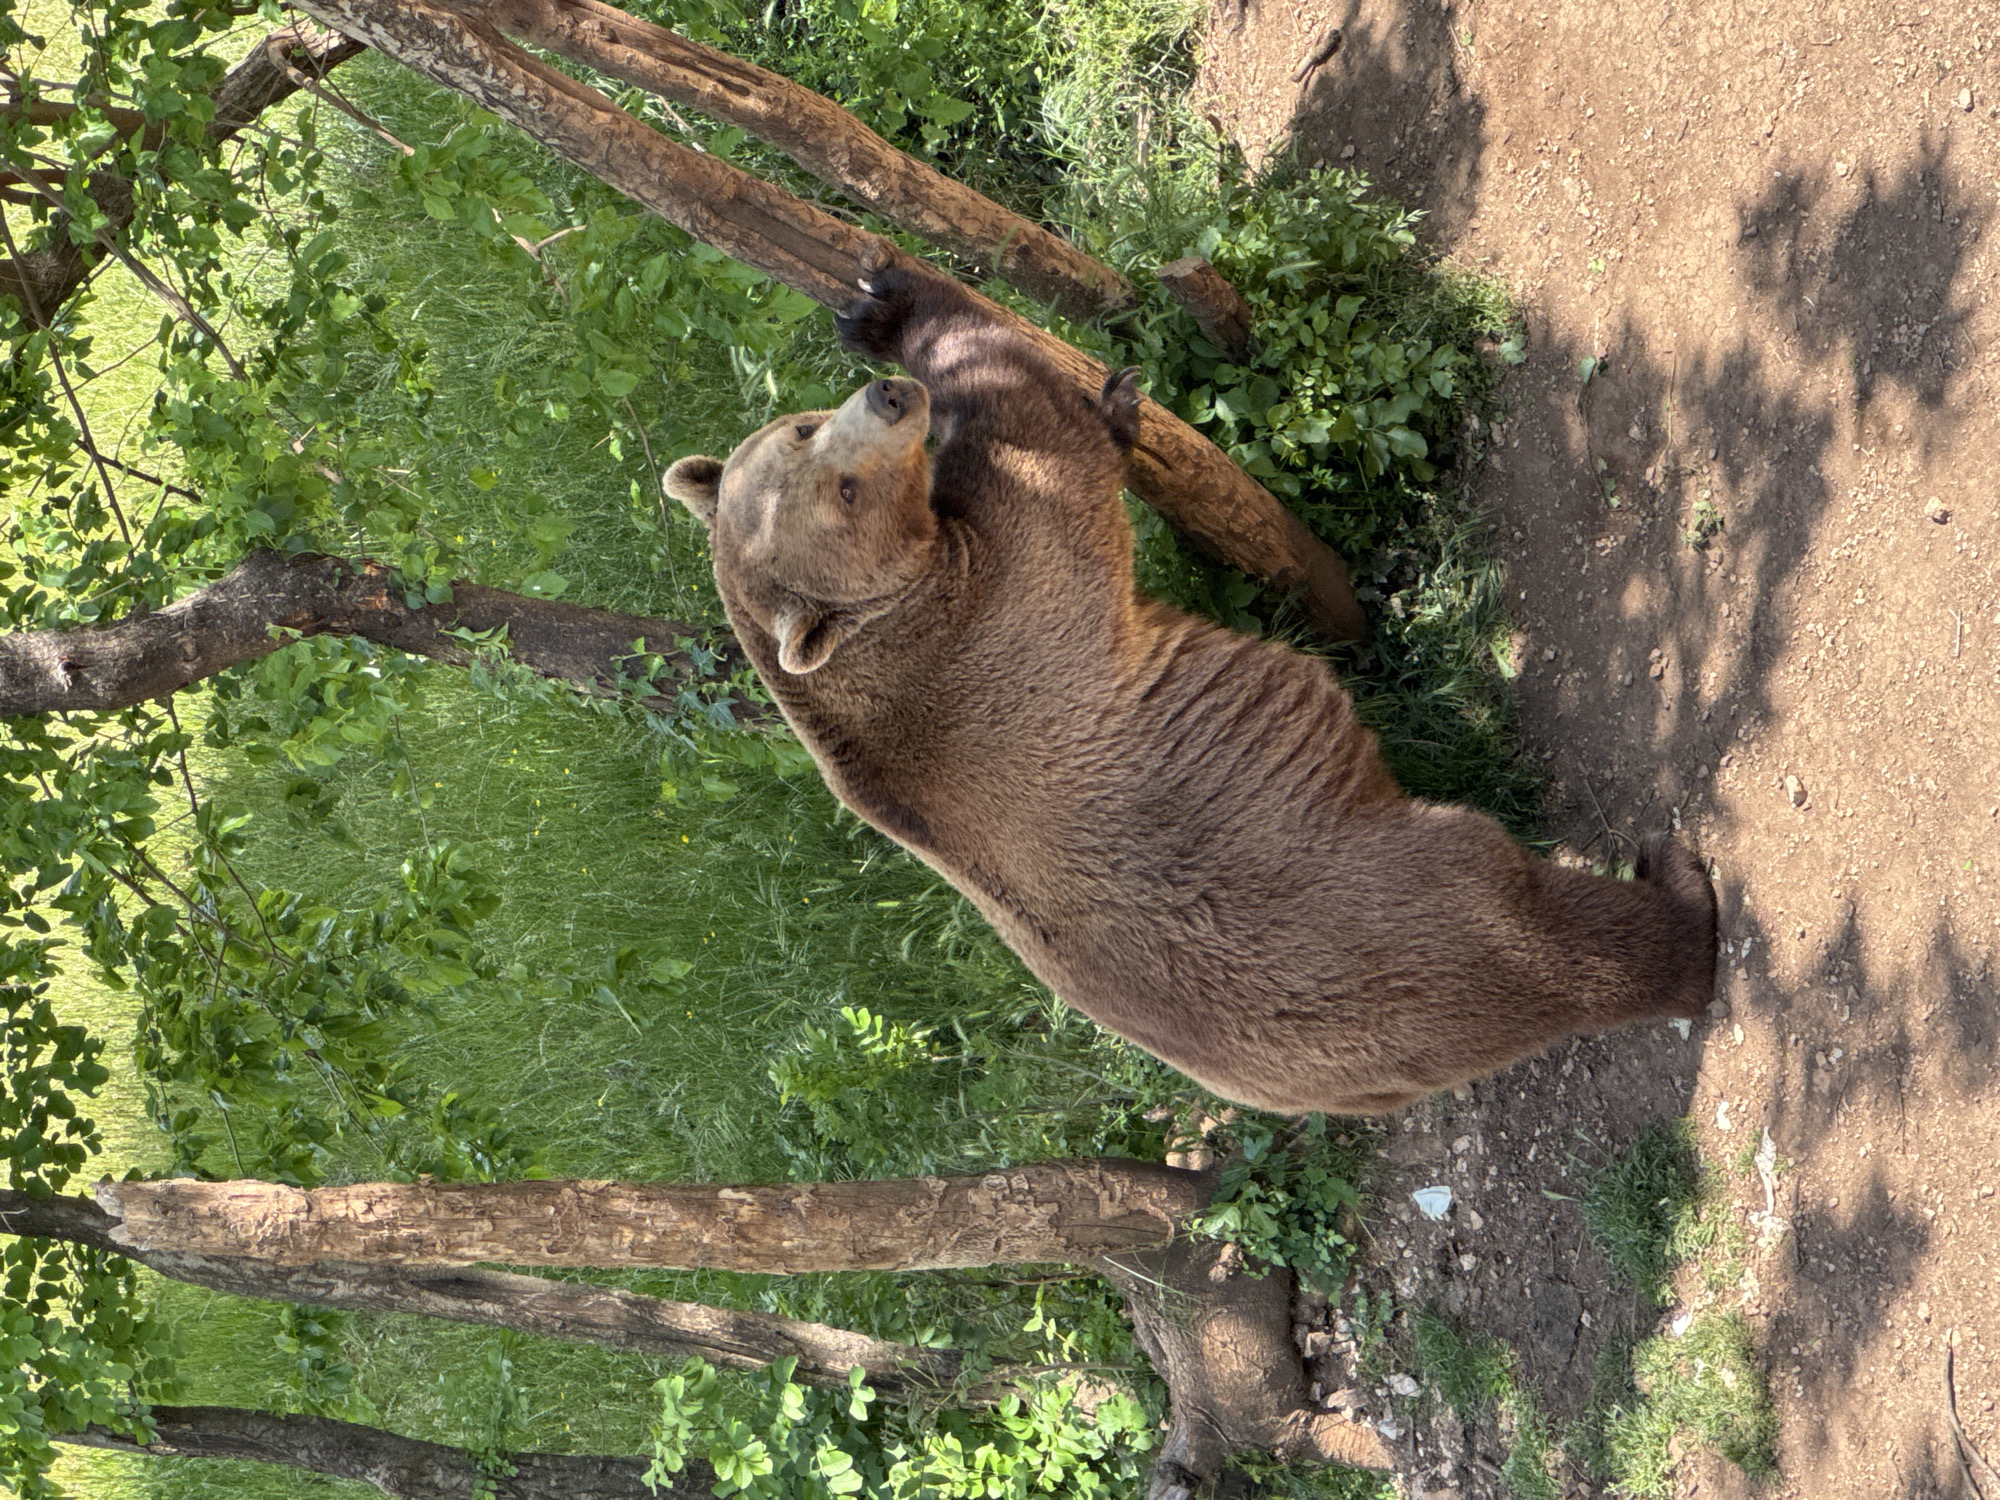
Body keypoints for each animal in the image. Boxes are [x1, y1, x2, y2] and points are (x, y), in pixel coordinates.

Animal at [663, 261, 1717, 1115]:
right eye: (839, 488)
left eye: (803, 429)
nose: (889, 399)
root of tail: (1359, 1086)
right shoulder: (997, 598)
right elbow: (1032, 423)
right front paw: (917, 309)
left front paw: (871, 306)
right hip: (1392, 906)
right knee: (1545, 930)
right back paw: (1678, 899)